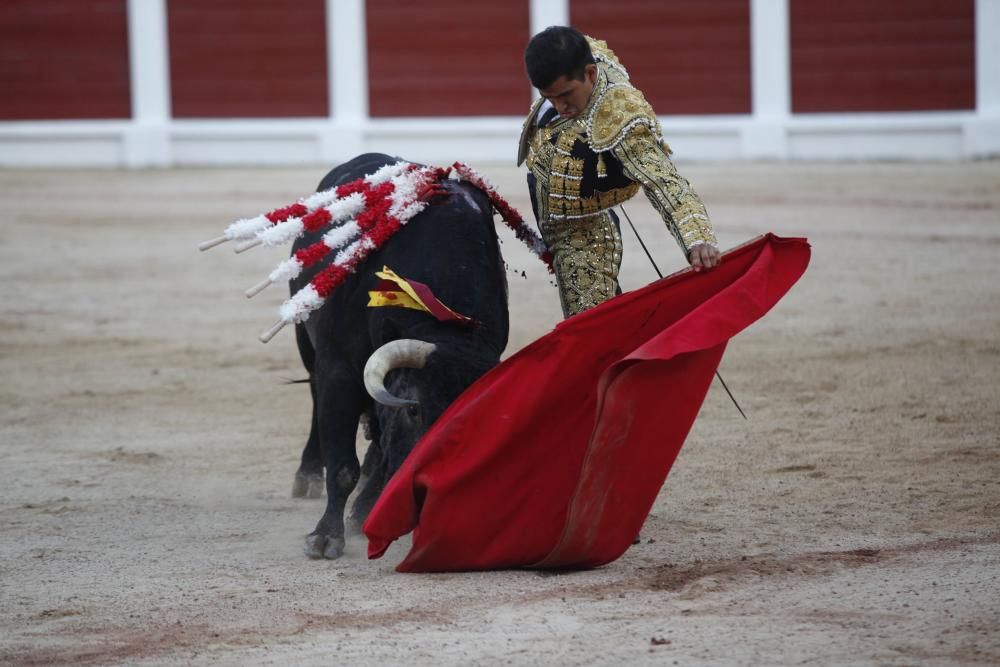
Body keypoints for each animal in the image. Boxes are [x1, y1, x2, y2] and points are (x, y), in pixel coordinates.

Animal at [290, 153, 508, 560]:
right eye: (414, 411)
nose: (429, 492)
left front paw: (364, 513)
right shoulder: (339, 368)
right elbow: (343, 465)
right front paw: (325, 537)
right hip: (305, 338)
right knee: (313, 396)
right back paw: (307, 475)